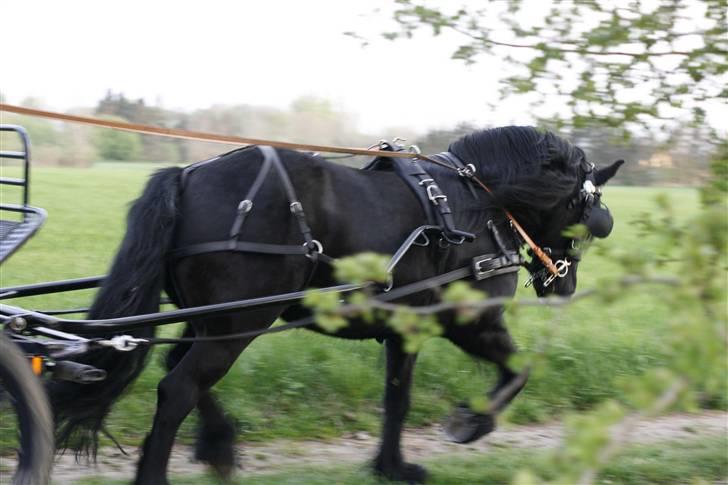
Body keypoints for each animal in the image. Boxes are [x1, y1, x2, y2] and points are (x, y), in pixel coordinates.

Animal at [48, 126, 623, 484]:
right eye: (588, 212)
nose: (564, 285)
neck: (476, 203)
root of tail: (186, 176)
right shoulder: (471, 321)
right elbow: (518, 369)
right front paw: (470, 424)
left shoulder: (406, 328)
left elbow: (398, 399)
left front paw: (392, 466)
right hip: (242, 321)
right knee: (179, 386)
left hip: (211, 320)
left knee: (180, 371)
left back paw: (219, 445)